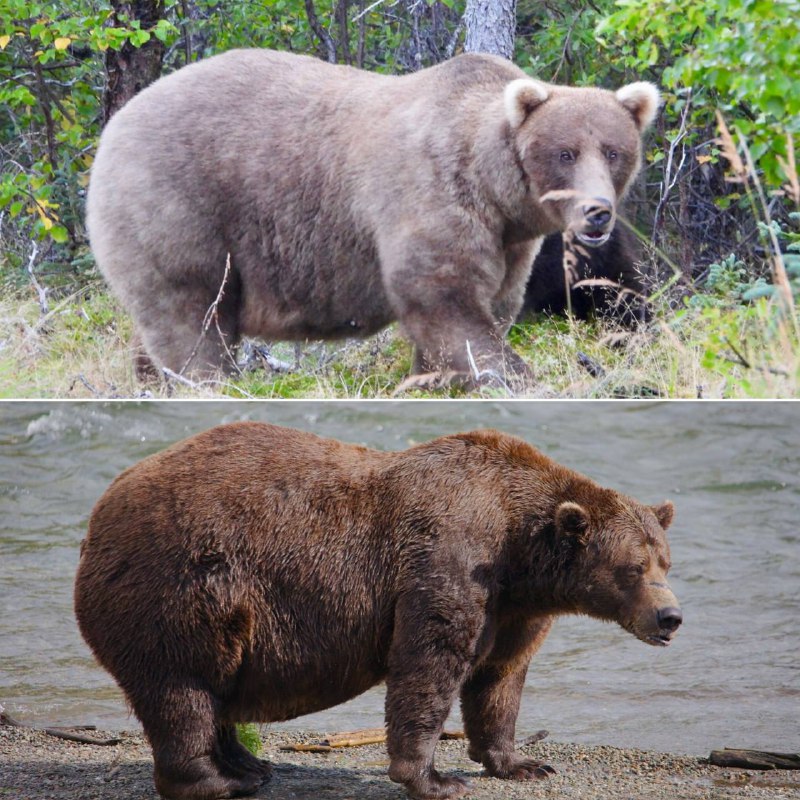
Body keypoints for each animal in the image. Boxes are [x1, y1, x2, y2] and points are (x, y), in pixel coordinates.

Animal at [75, 422, 680, 800]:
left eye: (665, 561)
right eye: (633, 568)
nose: (670, 617)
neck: (520, 550)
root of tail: (98, 515)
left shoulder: (513, 607)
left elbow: (499, 679)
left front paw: (522, 763)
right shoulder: (449, 559)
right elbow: (429, 664)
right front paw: (435, 779)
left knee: (215, 688)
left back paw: (249, 764)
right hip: (181, 586)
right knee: (183, 689)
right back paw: (218, 780)